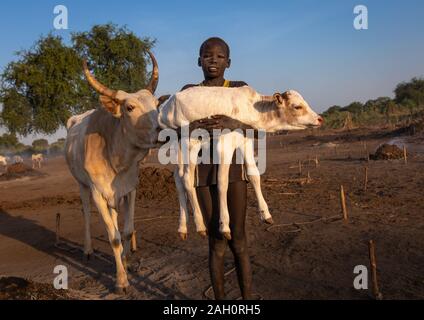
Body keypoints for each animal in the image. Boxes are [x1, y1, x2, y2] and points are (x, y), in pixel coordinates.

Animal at [66, 51, 162, 294]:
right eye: (129, 108)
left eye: (157, 104)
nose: (163, 131)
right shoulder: (97, 193)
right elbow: (114, 237)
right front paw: (121, 280)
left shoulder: (130, 188)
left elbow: (126, 231)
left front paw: (126, 262)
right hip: (82, 186)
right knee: (86, 214)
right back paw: (88, 250)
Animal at [157, 85, 322, 240]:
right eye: (297, 106)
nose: (320, 119)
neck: (252, 109)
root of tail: (166, 107)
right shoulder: (225, 145)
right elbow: (222, 182)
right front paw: (224, 225)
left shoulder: (246, 142)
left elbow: (254, 176)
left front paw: (266, 214)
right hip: (190, 142)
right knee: (187, 179)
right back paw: (200, 225)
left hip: (176, 147)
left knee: (178, 180)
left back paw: (182, 227)